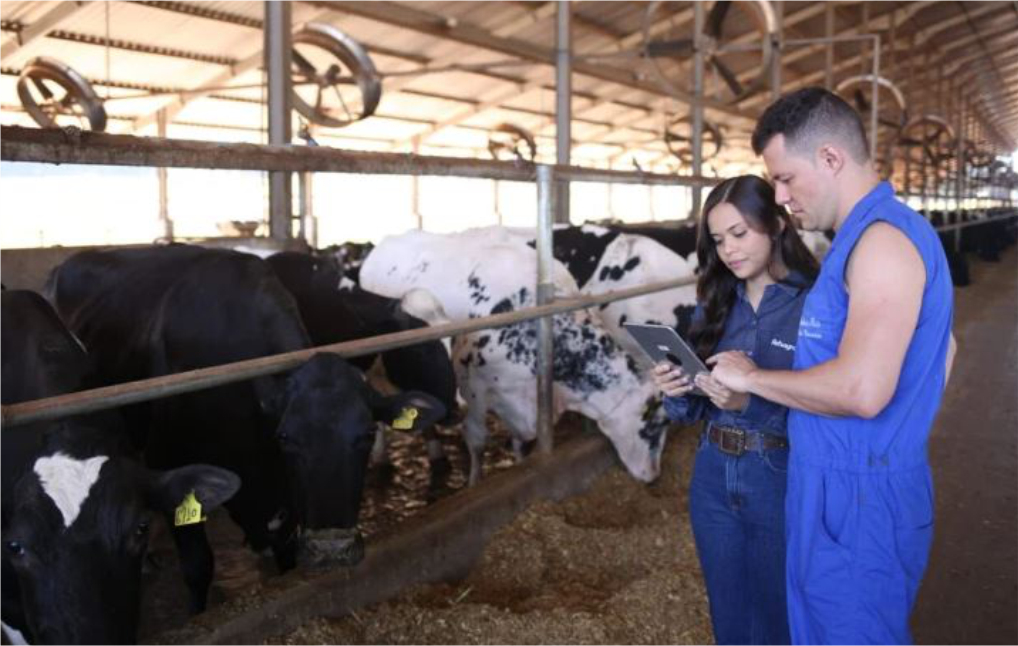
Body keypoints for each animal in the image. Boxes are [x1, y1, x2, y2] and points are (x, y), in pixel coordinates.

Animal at [360, 230, 672, 486]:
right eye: (654, 425)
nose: (654, 476)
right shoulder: (472, 388)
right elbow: (477, 440)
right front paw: (474, 484)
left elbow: (521, 442)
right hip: (374, 366)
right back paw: (382, 457)